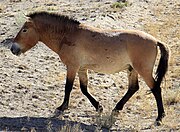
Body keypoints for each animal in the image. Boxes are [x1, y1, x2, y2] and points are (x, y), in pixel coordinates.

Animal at [10, 11, 169, 125]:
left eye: (24, 30)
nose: (13, 49)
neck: (68, 35)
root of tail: (155, 41)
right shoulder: (81, 69)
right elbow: (84, 88)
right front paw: (99, 107)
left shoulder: (72, 67)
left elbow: (68, 87)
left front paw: (62, 107)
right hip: (132, 70)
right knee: (133, 88)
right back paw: (116, 109)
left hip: (143, 70)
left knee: (155, 88)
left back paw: (159, 118)